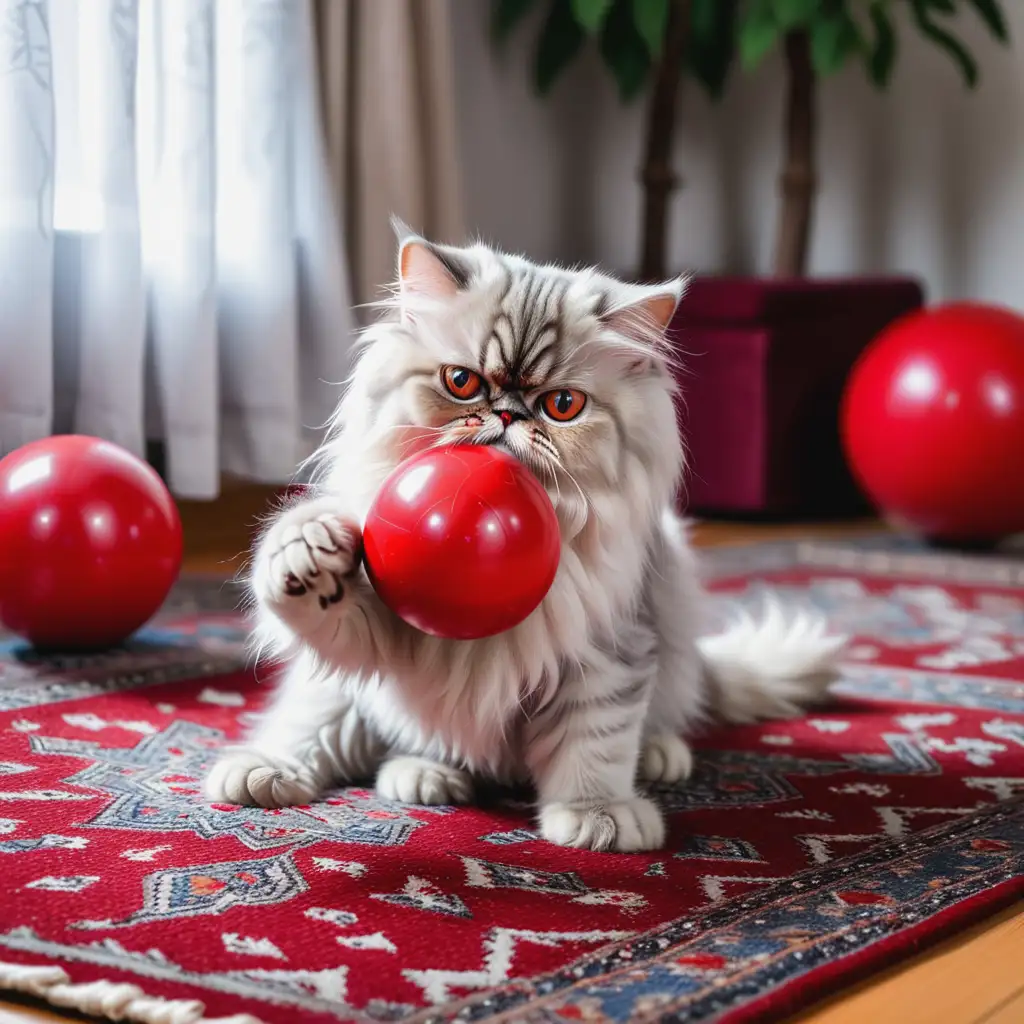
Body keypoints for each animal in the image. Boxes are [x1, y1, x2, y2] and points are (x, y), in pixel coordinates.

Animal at [203, 226, 843, 856]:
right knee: (316, 733)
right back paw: (317, 773)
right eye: (462, 382)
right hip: (333, 696)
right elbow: (315, 598)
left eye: (562, 406)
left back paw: (660, 756)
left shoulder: (608, 650)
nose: (508, 415)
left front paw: (596, 815)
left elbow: (597, 740)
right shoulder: (388, 637)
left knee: (667, 713)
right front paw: (309, 552)